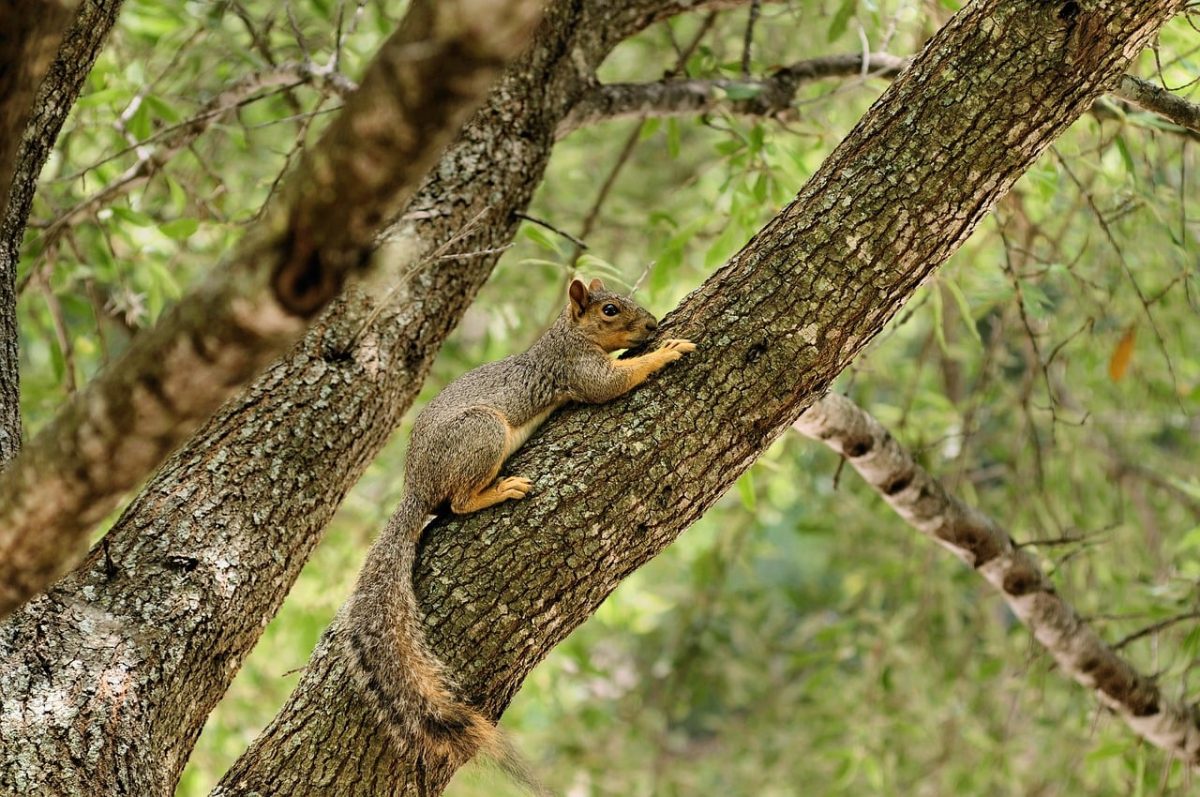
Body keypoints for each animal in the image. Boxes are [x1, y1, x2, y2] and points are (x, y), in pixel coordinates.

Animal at [343, 277, 696, 789]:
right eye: (609, 309)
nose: (651, 326)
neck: (566, 334)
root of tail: (417, 487)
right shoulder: (575, 367)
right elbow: (610, 384)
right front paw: (666, 351)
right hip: (482, 433)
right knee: (458, 502)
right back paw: (500, 489)